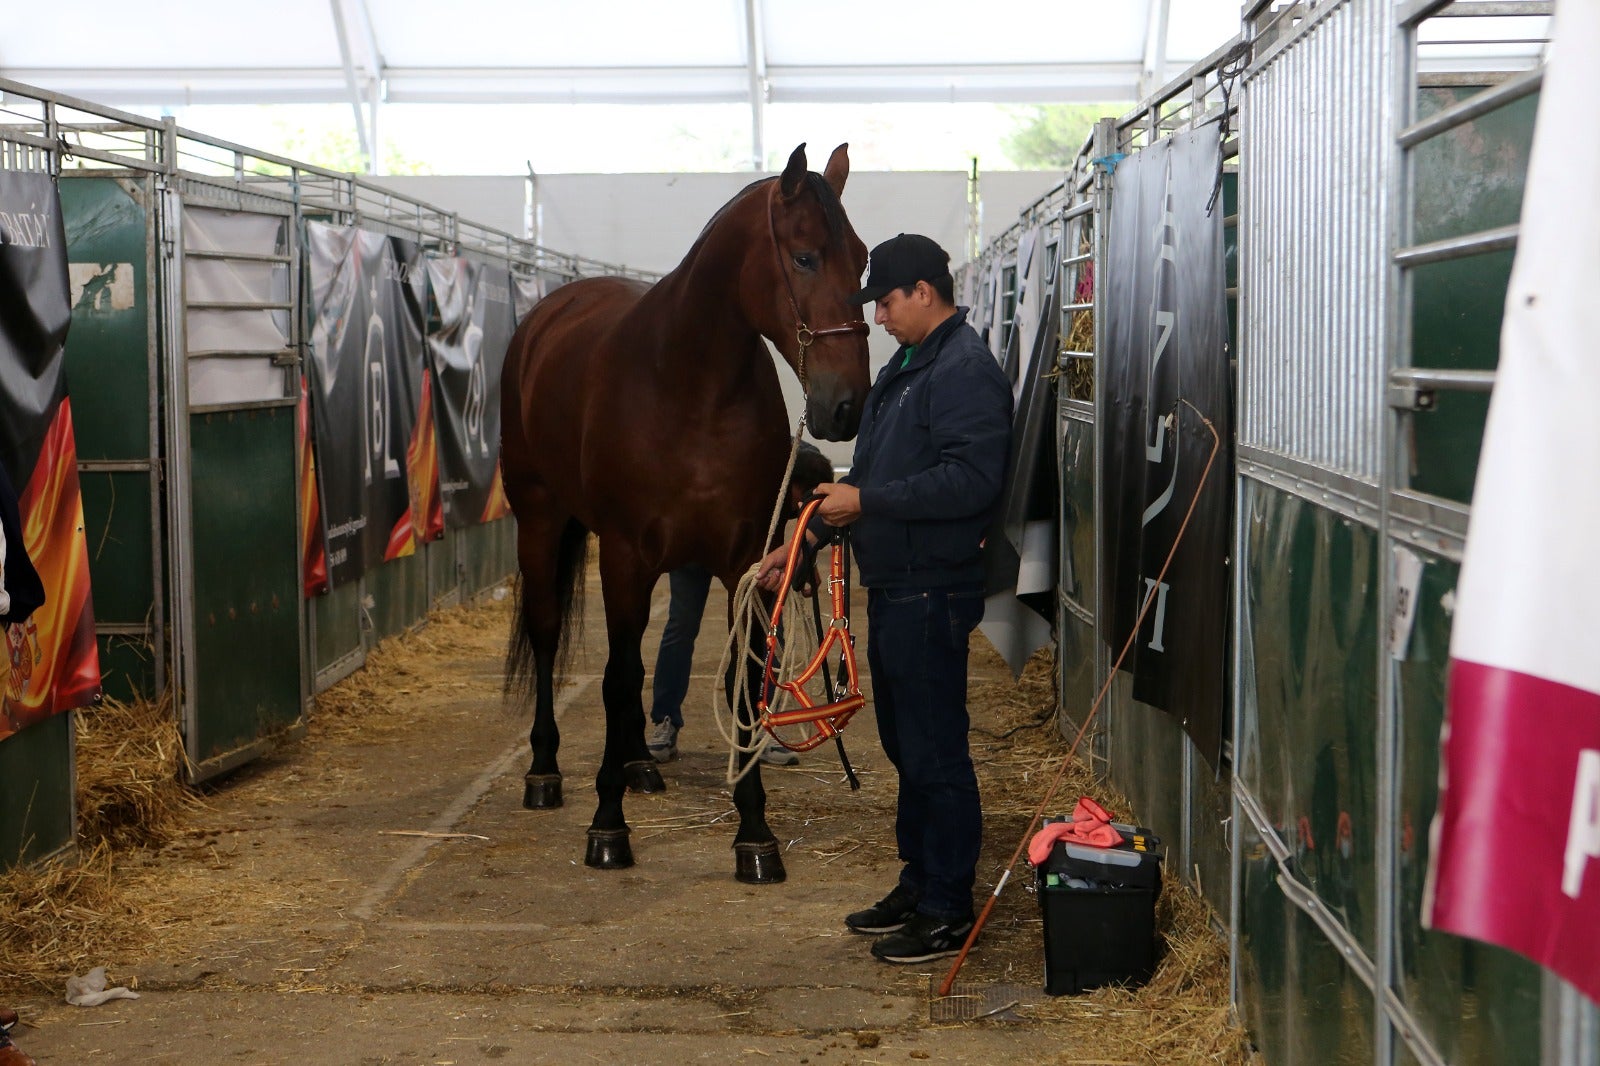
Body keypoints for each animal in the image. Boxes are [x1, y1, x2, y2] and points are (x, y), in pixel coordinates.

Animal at [502, 140, 870, 877]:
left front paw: (755, 834)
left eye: (865, 257)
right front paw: (607, 825)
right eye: (806, 257)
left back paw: (639, 764)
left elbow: (743, 681)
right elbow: (617, 679)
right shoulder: (624, 557)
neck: (690, 388)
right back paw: (545, 772)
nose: (848, 405)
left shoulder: (745, 561)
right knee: (550, 632)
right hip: (541, 520)